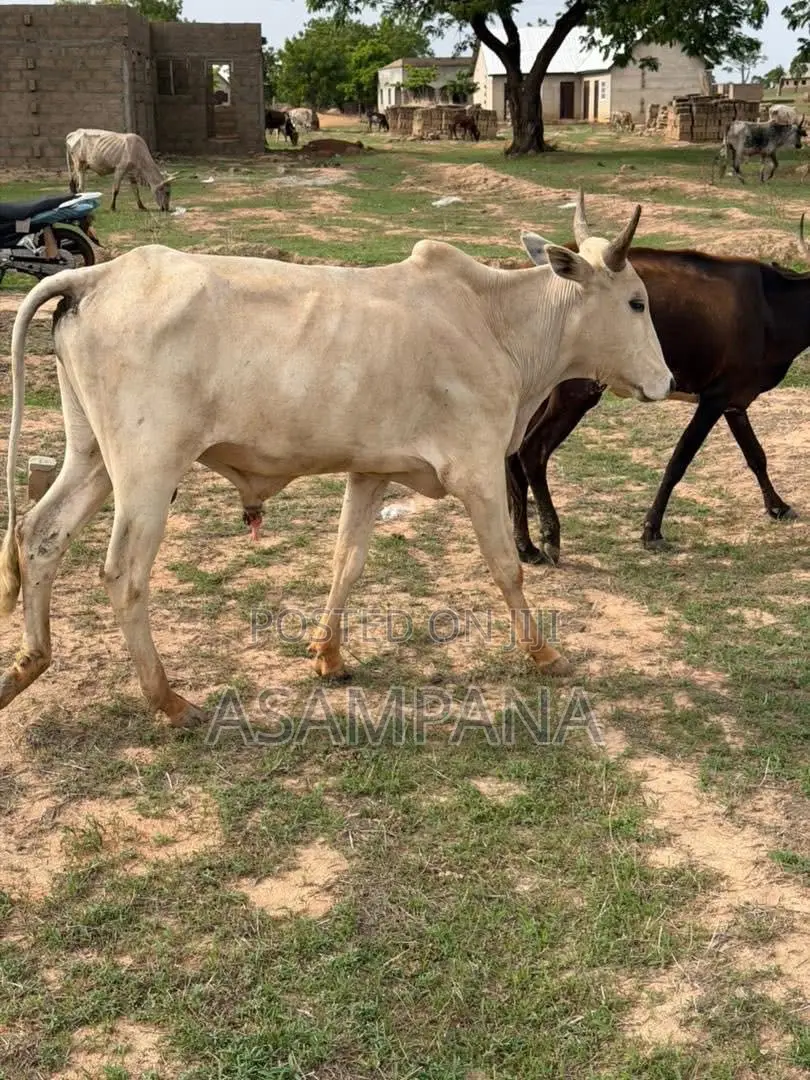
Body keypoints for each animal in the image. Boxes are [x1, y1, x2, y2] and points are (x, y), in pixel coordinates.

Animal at [0, 194, 673, 726]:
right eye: (638, 303)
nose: (666, 381)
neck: (496, 323)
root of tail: (97, 277)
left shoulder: (371, 471)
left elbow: (347, 562)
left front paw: (328, 654)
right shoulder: (477, 472)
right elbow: (508, 569)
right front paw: (543, 653)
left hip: (92, 455)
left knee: (39, 535)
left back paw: (27, 666)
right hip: (148, 469)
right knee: (124, 574)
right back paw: (168, 700)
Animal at [507, 214, 810, 566]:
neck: (773, 307)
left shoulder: (736, 401)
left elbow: (756, 455)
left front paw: (778, 506)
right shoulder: (715, 397)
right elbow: (679, 460)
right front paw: (651, 530)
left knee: (512, 453)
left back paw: (525, 545)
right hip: (575, 392)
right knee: (532, 450)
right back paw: (549, 538)